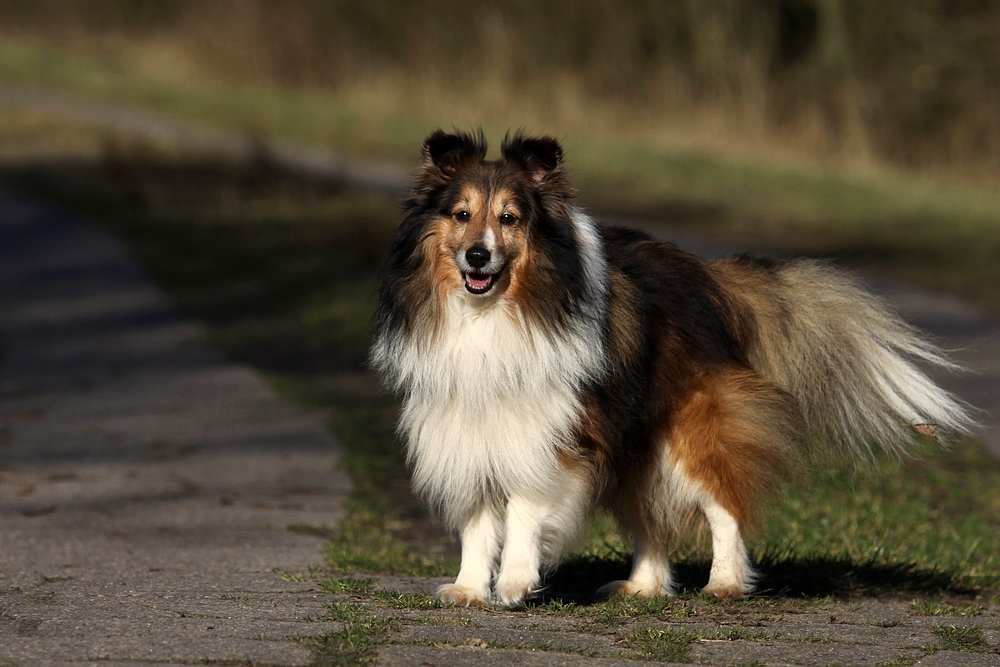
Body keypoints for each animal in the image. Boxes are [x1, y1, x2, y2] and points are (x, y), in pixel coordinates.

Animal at [372, 128, 972, 608]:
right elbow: (477, 519)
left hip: (690, 429)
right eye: (462, 215)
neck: (495, 311)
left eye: (509, 219)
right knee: (653, 513)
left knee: (723, 504)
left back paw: (724, 583)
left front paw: (516, 583)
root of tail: (711, 277)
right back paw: (643, 587)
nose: (477, 256)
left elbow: (524, 506)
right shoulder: (463, 424)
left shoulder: (550, 430)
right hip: (639, 441)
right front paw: (470, 588)